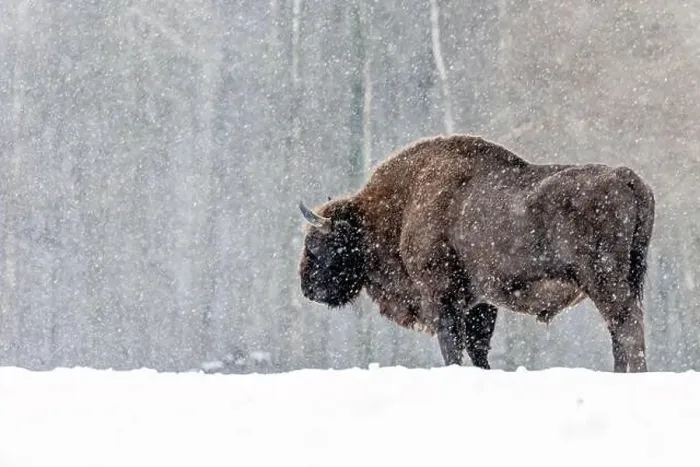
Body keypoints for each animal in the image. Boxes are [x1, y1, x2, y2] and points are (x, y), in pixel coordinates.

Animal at [298, 134, 655, 372]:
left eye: (316, 244)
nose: (307, 289)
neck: (403, 206)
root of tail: (625, 177)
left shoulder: (441, 296)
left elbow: (453, 346)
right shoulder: (480, 303)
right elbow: (478, 348)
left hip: (602, 279)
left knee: (626, 324)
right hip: (626, 278)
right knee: (620, 329)